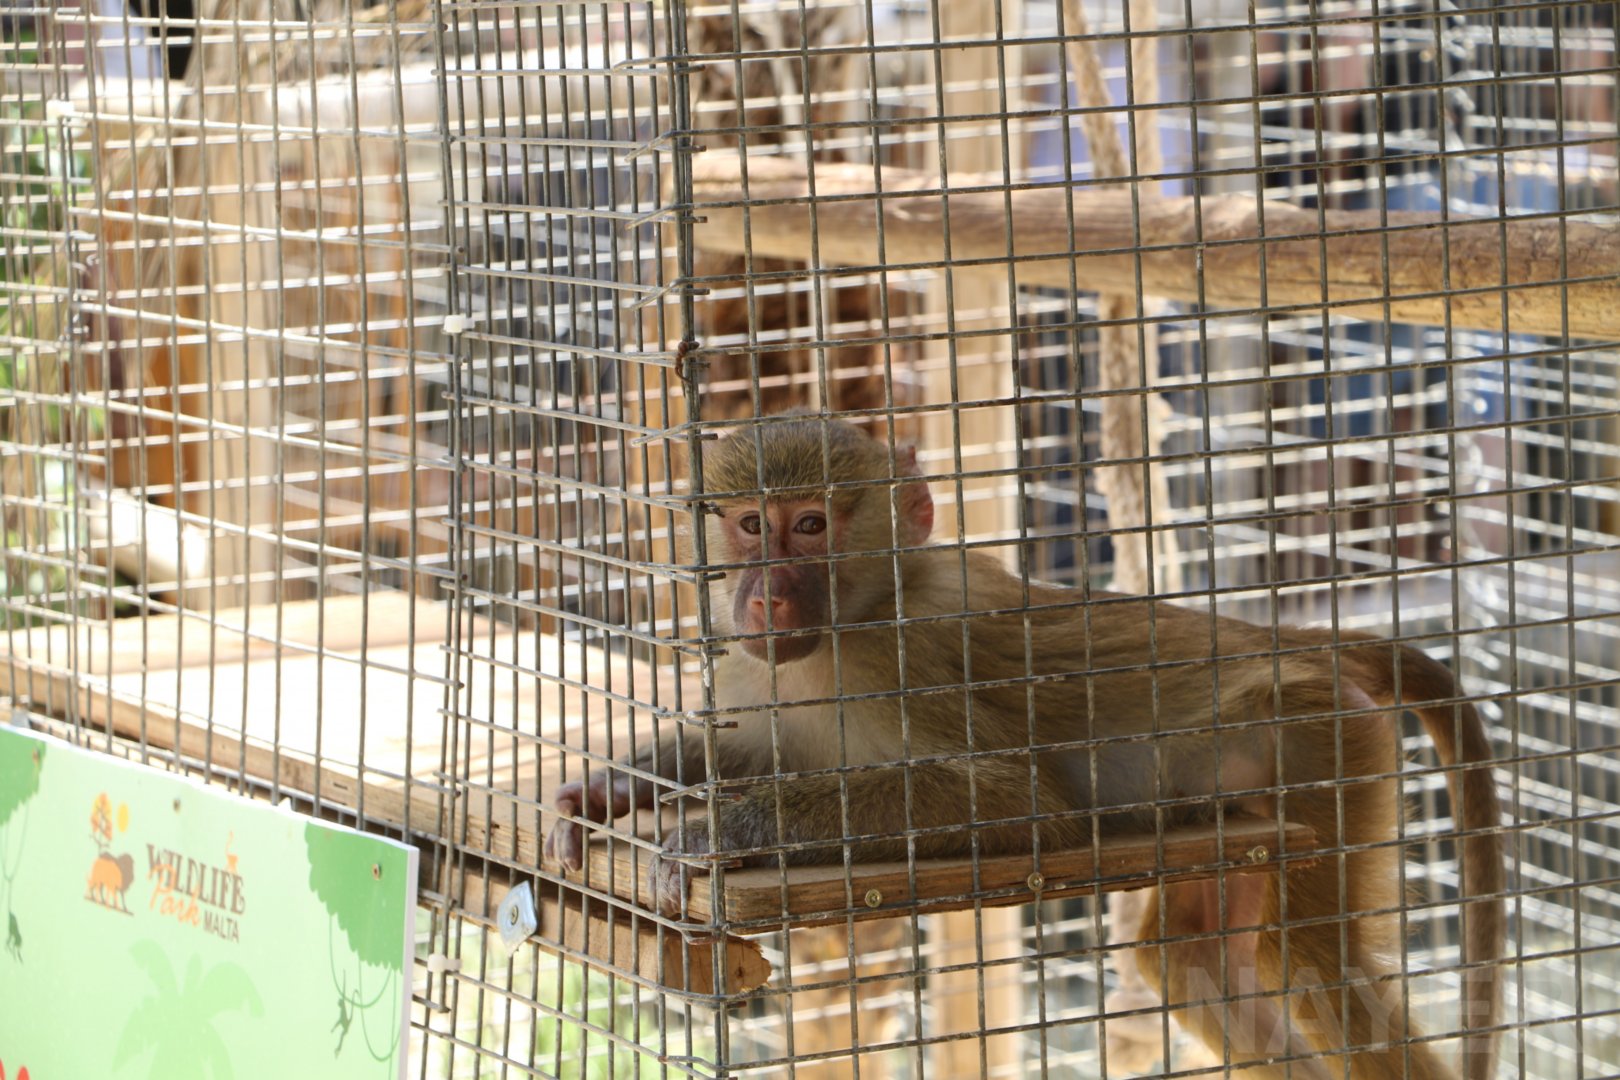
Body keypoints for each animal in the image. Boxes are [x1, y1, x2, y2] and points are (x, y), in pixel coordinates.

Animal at [546, 413, 1505, 1080]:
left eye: (810, 527)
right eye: (750, 525)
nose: (765, 597)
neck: (861, 613)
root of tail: (1281, 643)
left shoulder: (910, 655)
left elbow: (1017, 803)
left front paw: (720, 833)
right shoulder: (756, 667)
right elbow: (753, 752)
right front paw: (604, 795)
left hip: (1317, 739)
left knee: (1314, 965)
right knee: (1193, 959)